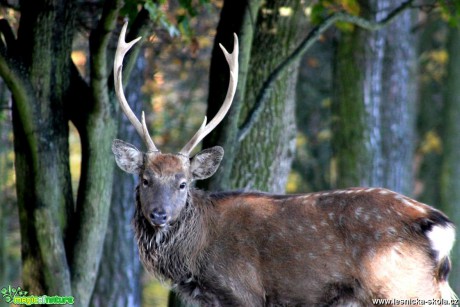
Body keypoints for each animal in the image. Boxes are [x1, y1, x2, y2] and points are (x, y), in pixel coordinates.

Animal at [110, 22, 456, 306]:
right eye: (145, 179)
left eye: (183, 183)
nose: (159, 214)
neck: (196, 257)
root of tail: (439, 224)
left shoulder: (243, 291)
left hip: (402, 286)